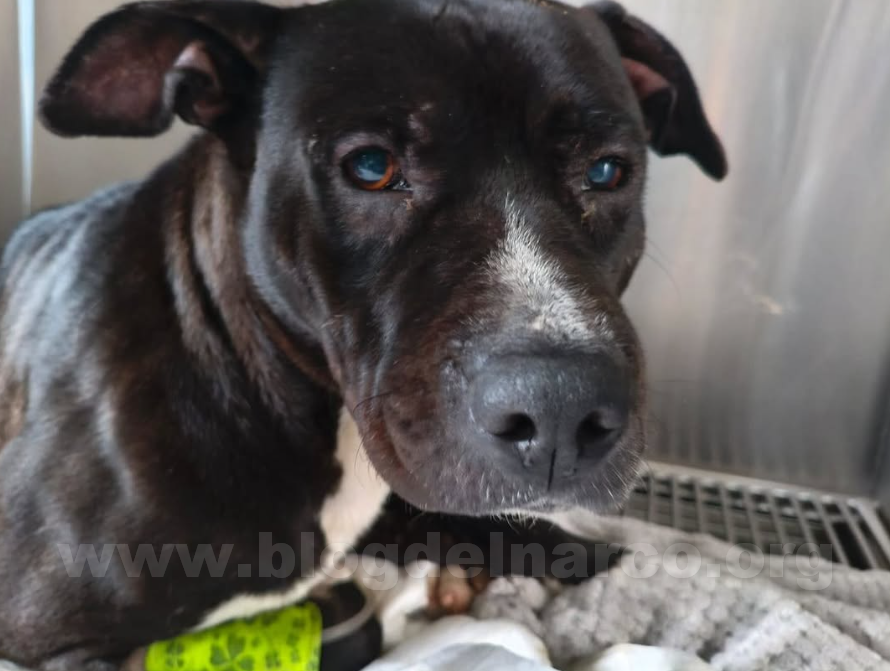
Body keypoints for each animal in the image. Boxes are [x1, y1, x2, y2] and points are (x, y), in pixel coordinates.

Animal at [0, 0, 726, 668]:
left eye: (607, 171)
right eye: (371, 166)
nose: (562, 407)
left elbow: (460, 515)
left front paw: (585, 553)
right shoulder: (48, 637)